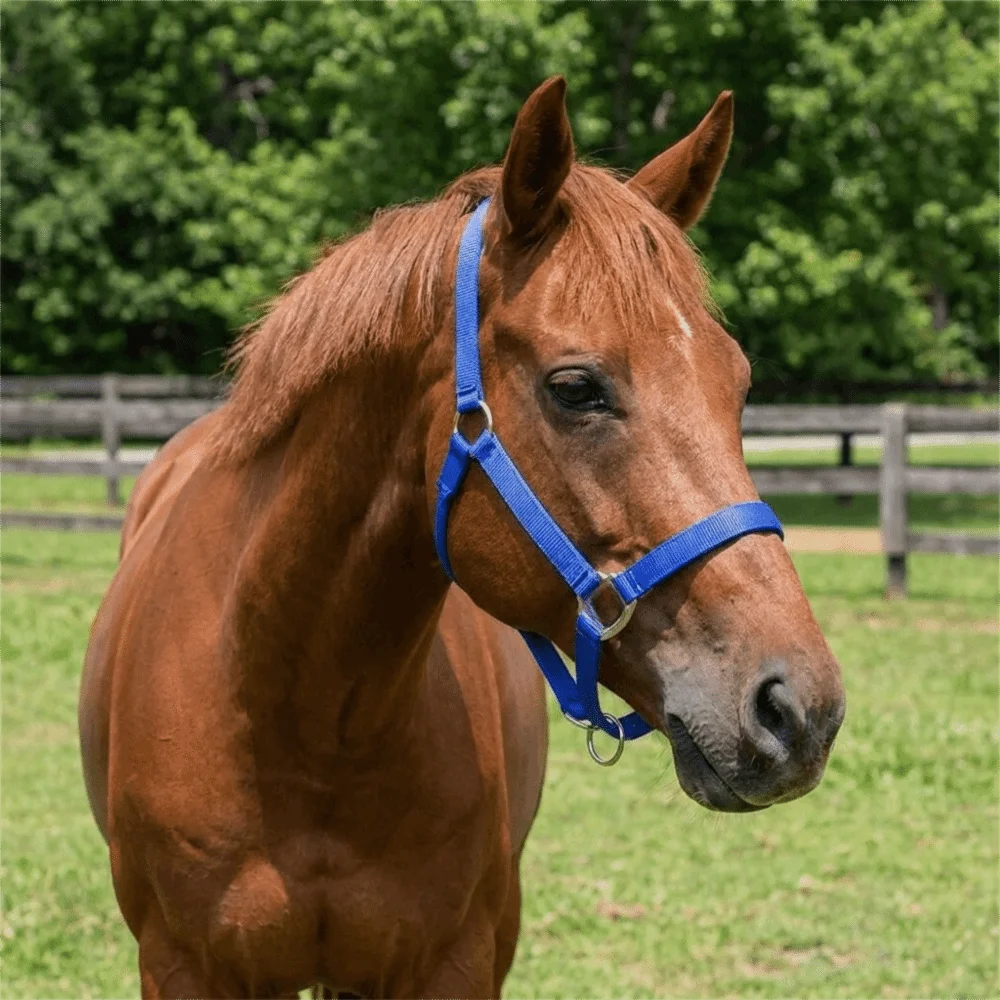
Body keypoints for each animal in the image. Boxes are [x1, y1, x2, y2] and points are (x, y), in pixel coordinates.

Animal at [79, 76, 845, 999]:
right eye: (576, 388)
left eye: (737, 384)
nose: (798, 709)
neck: (300, 721)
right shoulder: (183, 967)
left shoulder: (461, 958)